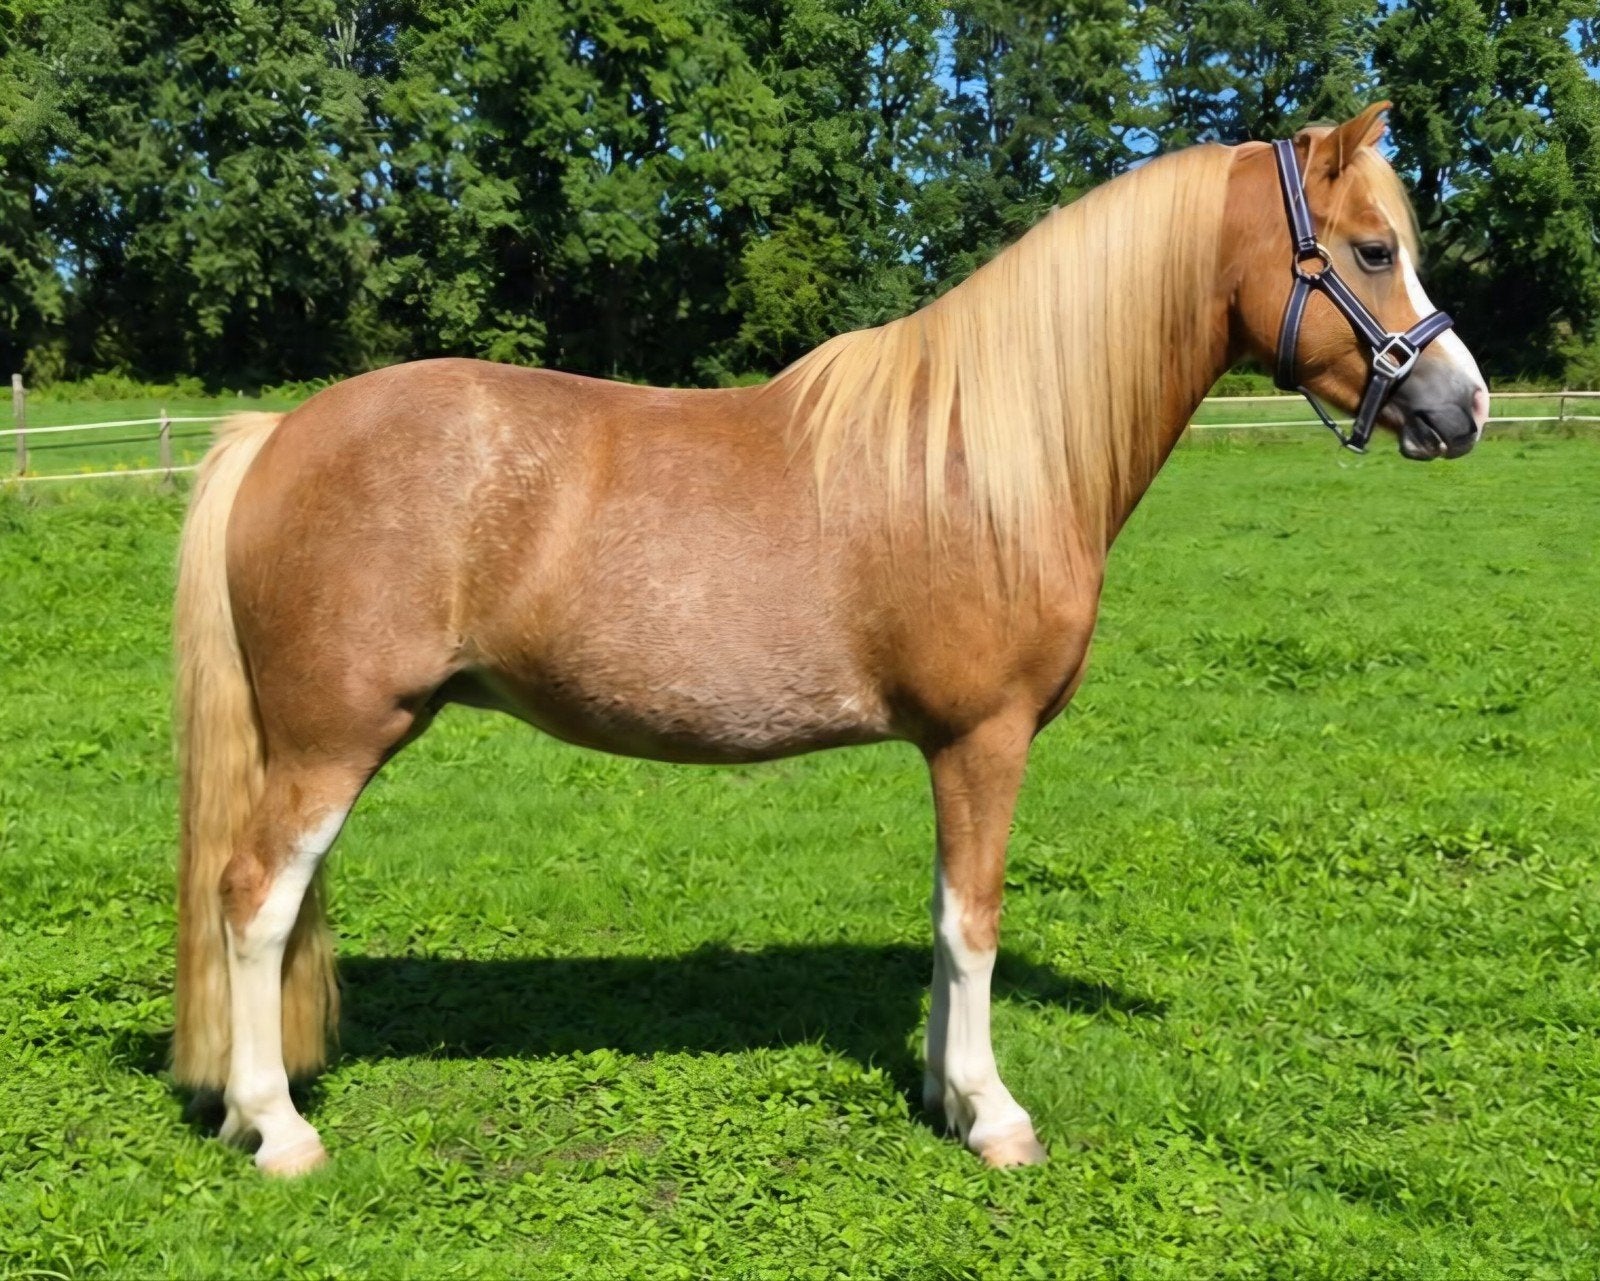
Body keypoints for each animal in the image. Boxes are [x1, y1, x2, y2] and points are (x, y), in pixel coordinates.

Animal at [171, 103, 1489, 1176]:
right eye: (1372, 250)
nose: (1464, 406)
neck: (989, 457)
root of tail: (277, 435)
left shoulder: (948, 749)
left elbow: (944, 918)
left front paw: (942, 1092)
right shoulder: (985, 738)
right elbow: (975, 921)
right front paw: (991, 1115)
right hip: (335, 741)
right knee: (254, 901)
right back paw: (278, 1130)